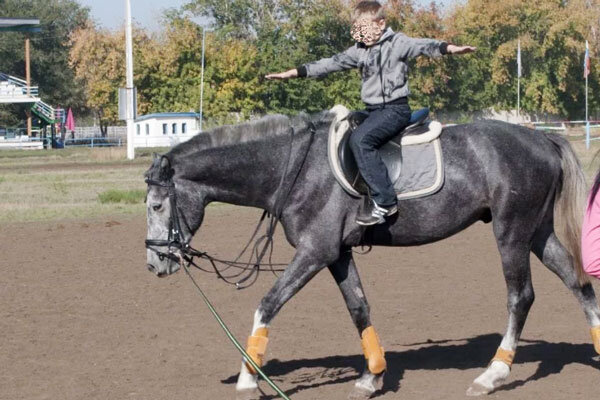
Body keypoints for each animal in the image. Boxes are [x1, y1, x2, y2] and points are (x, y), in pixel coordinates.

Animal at [144, 107, 600, 400]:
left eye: (156, 206)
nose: (154, 262)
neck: (296, 168)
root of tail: (540, 136)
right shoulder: (337, 254)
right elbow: (359, 308)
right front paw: (372, 376)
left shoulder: (314, 251)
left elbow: (267, 305)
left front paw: (248, 379)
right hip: (537, 233)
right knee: (579, 284)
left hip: (511, 232)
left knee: (520, 297)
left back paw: (494, 373)